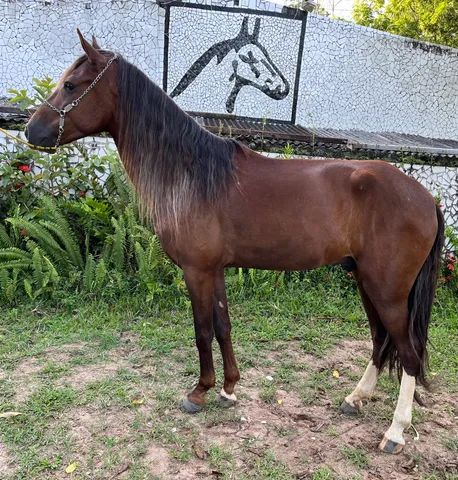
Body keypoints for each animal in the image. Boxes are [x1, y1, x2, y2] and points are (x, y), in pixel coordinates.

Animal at [26, 31, 444, 456]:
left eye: (71, 86)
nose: (30, 131)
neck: (192, 174)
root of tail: (426, 198)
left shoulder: (196, 271)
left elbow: (202, 331)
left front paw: (199, 392)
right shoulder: (216, 270)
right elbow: (223, 326)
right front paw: (228, 390)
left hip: (387, 291)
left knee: (409, 354)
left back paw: (395, 431)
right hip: (365, 283)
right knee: (380, 342)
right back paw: (355, 399)